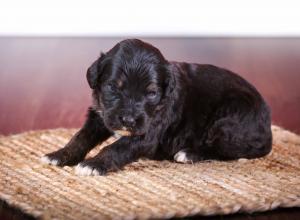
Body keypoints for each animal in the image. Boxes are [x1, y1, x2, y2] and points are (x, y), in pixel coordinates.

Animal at [41, 39, 274, 175]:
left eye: (151, 93)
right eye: (113, 87)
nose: (128, 120)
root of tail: (268, 130)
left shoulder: (148, 133)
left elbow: (117, 147)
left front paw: (93, 164)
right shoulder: (101, 115)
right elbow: (80, 137)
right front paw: (59, 155)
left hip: (229, 117)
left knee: (224, 150)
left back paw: (188, 154)